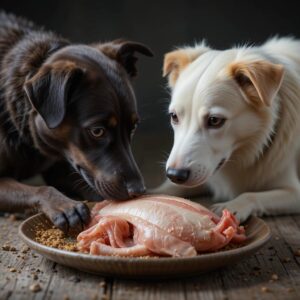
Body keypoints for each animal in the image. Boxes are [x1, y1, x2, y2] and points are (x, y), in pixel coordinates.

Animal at [0, 11, 152, 232]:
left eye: (133, 128)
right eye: (97, 131)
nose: (138, 190)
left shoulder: (64, 167)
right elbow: (40, 189)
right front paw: (65, 206)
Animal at [156, 36, 300, 221]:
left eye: (214, 120)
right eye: (174, 116)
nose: (175, 174)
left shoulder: (294, 192)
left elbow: (250, 195)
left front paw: (232, 206)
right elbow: (167, 189)